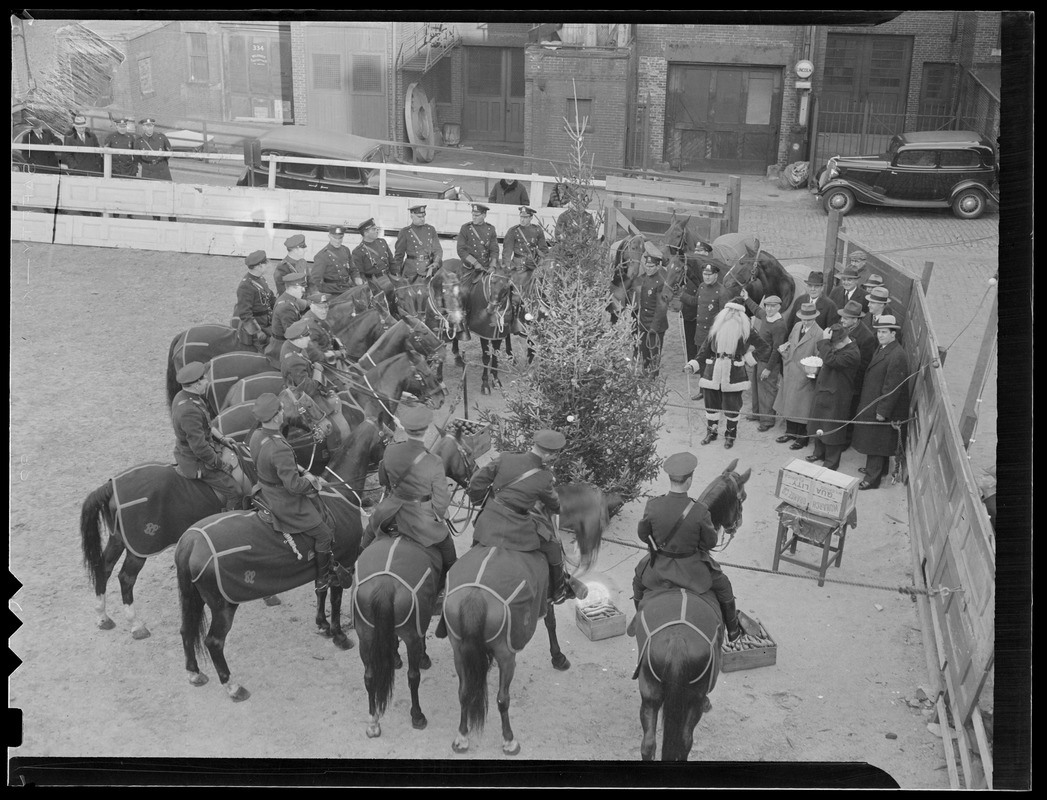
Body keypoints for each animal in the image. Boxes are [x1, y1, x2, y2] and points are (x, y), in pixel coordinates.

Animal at [439, 483, 607, 753]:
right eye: (602, 519)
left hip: (459, 649)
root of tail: (475, 596)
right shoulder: (546, 598)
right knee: (502, 699)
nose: (589, 557)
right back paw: (509, 740)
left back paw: (462, 737)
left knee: (464, 692)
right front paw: (558, 657)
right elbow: (551, 623)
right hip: (507, 655)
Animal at [632, 458, 749, 758]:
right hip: (692, 698)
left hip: (649, 692)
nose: (737, 524)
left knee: (648, 744)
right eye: (741, 498)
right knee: (685, 741)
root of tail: (677, 641)